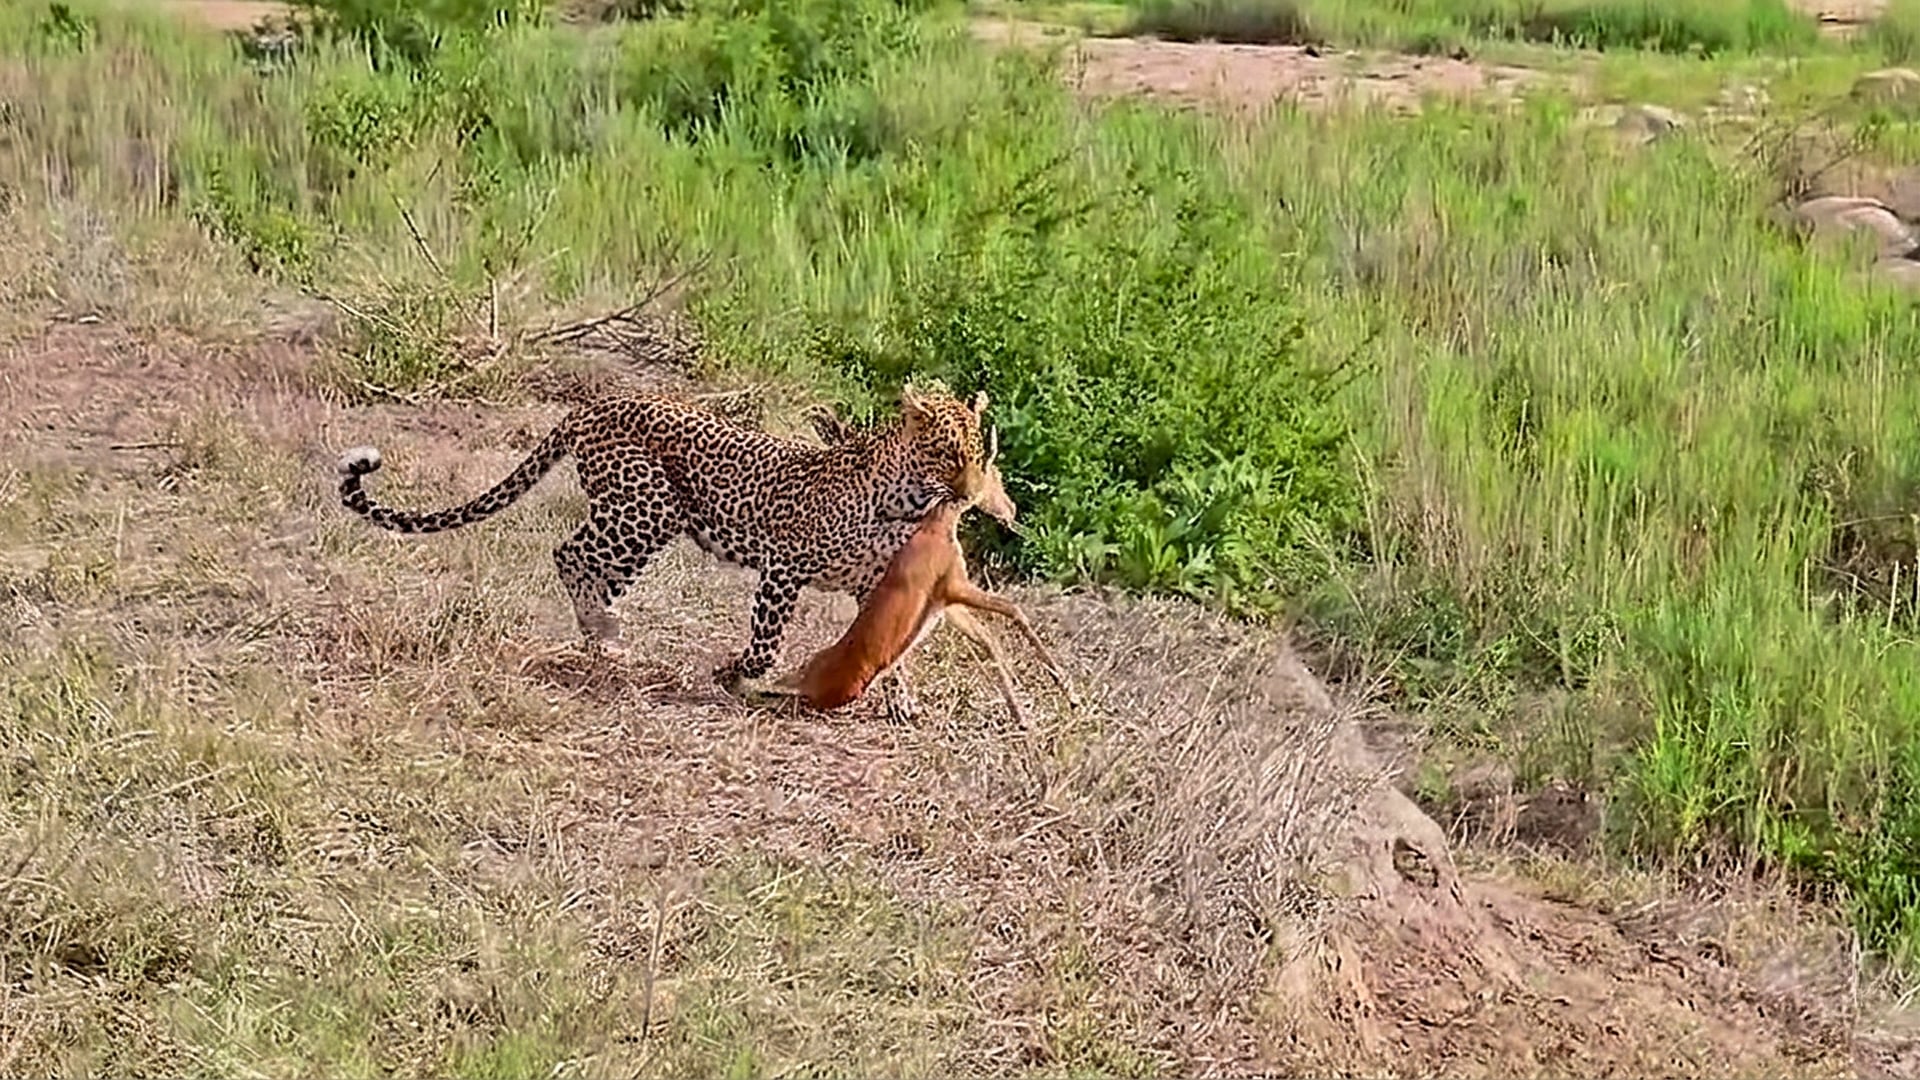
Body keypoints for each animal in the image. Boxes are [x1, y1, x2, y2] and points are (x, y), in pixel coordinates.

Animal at [335, 383, 996, 710]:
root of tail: (592, 405)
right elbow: (765, 646)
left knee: (592, 569)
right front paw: (731, 673)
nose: (968, 493)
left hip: (638, 525)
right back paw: (605, 633)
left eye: (978, 453)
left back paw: (604, 641)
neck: (904, 499)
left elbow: (890, 645)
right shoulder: (782, 567)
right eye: (946, 452)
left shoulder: (876, 585)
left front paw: (900, 698)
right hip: (647, 509)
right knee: (568, 554)